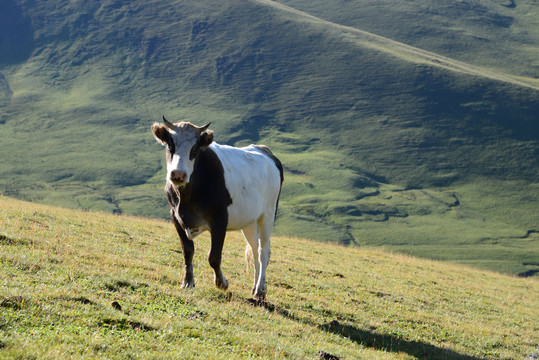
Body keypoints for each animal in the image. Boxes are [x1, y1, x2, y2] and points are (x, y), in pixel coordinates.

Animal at [152, 116, 284, 300]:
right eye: (170, 145)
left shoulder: (220, 219)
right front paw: (188, 282)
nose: (178, 174)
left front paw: (222, 283)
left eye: (195, 148)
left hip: (268, 215)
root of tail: (265, 151)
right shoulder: (175, 217)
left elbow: (214, 256)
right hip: (249, 221)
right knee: (255, 250)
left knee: (264, 251)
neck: (187, 198)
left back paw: (260, 290)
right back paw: (255, 288)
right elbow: (187, 251)